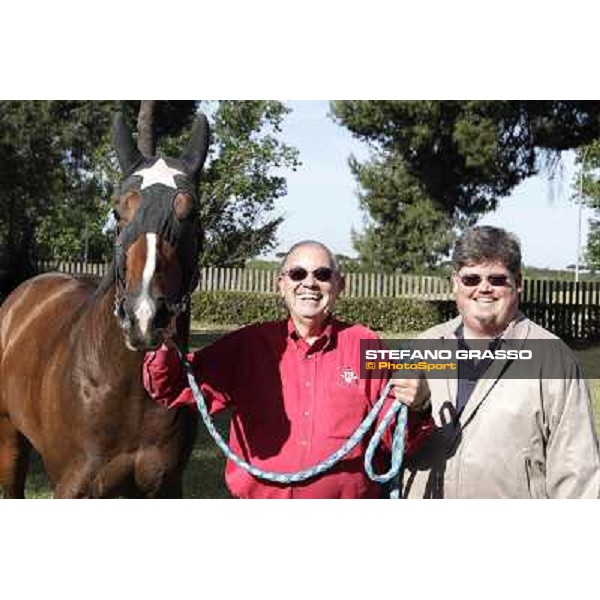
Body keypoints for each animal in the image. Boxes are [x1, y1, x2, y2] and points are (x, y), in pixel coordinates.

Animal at [0, 112, 209, 496]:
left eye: (192, 213)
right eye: (117, 212)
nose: (144, 318)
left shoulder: (165, 486)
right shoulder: (74, 486)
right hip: (9, 437)